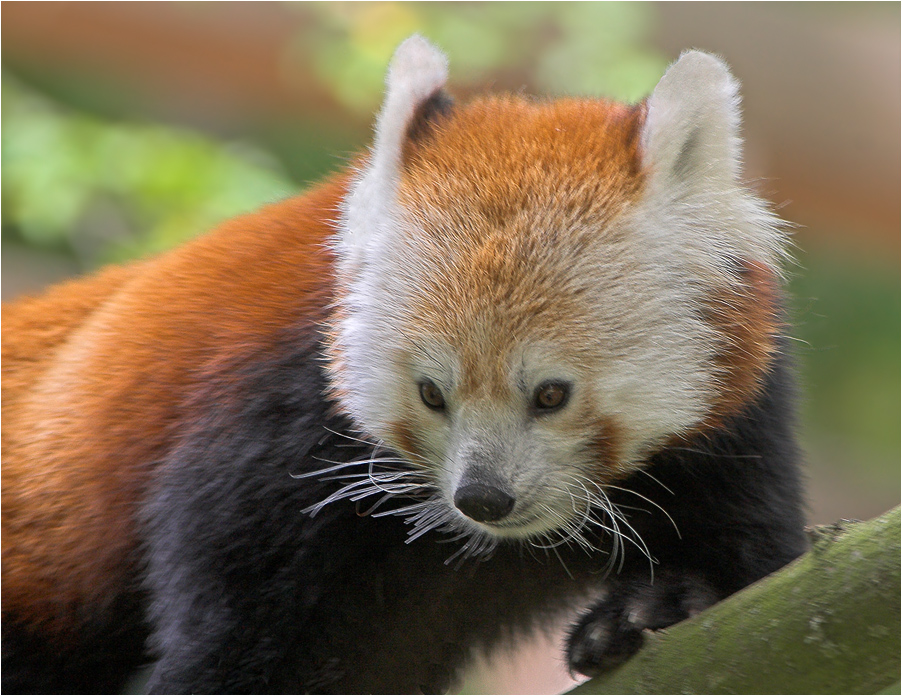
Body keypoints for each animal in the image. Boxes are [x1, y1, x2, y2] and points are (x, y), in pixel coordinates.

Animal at [0, 39, 804, 696]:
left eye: (551, 393)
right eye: (430, 393)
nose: (484, 498)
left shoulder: (734, 425)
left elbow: (755, 562)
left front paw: (652, 607)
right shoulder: (257, 434)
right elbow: (235, 655)